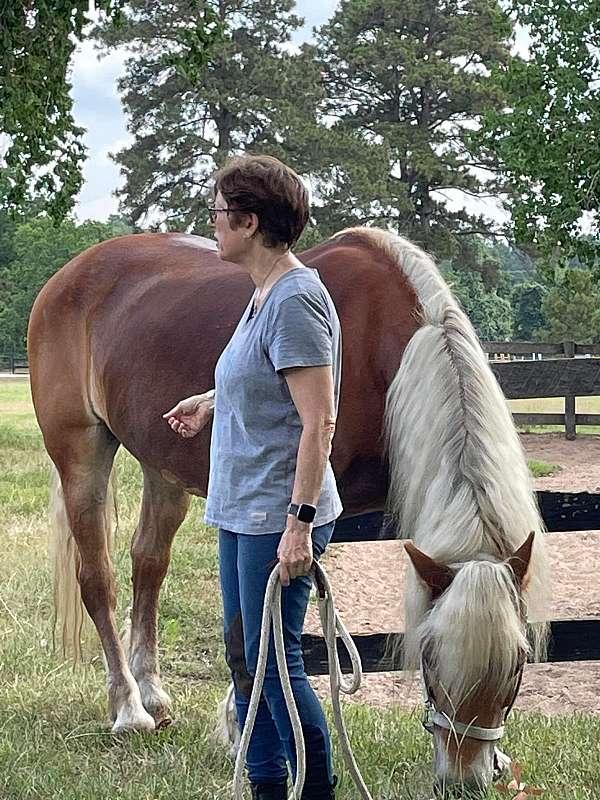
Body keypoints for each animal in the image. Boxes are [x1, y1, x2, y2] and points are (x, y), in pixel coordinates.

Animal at [29, 228, 548, 792]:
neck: (378, 348)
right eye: (428, 657)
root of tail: (68, 275)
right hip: (82, 454)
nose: (464, 780)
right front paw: (242, 727)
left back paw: (153, 696)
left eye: (518, 662)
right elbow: (273, 622)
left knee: (148, 565)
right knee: (97, 579)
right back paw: (129, 709)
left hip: (160, 467)